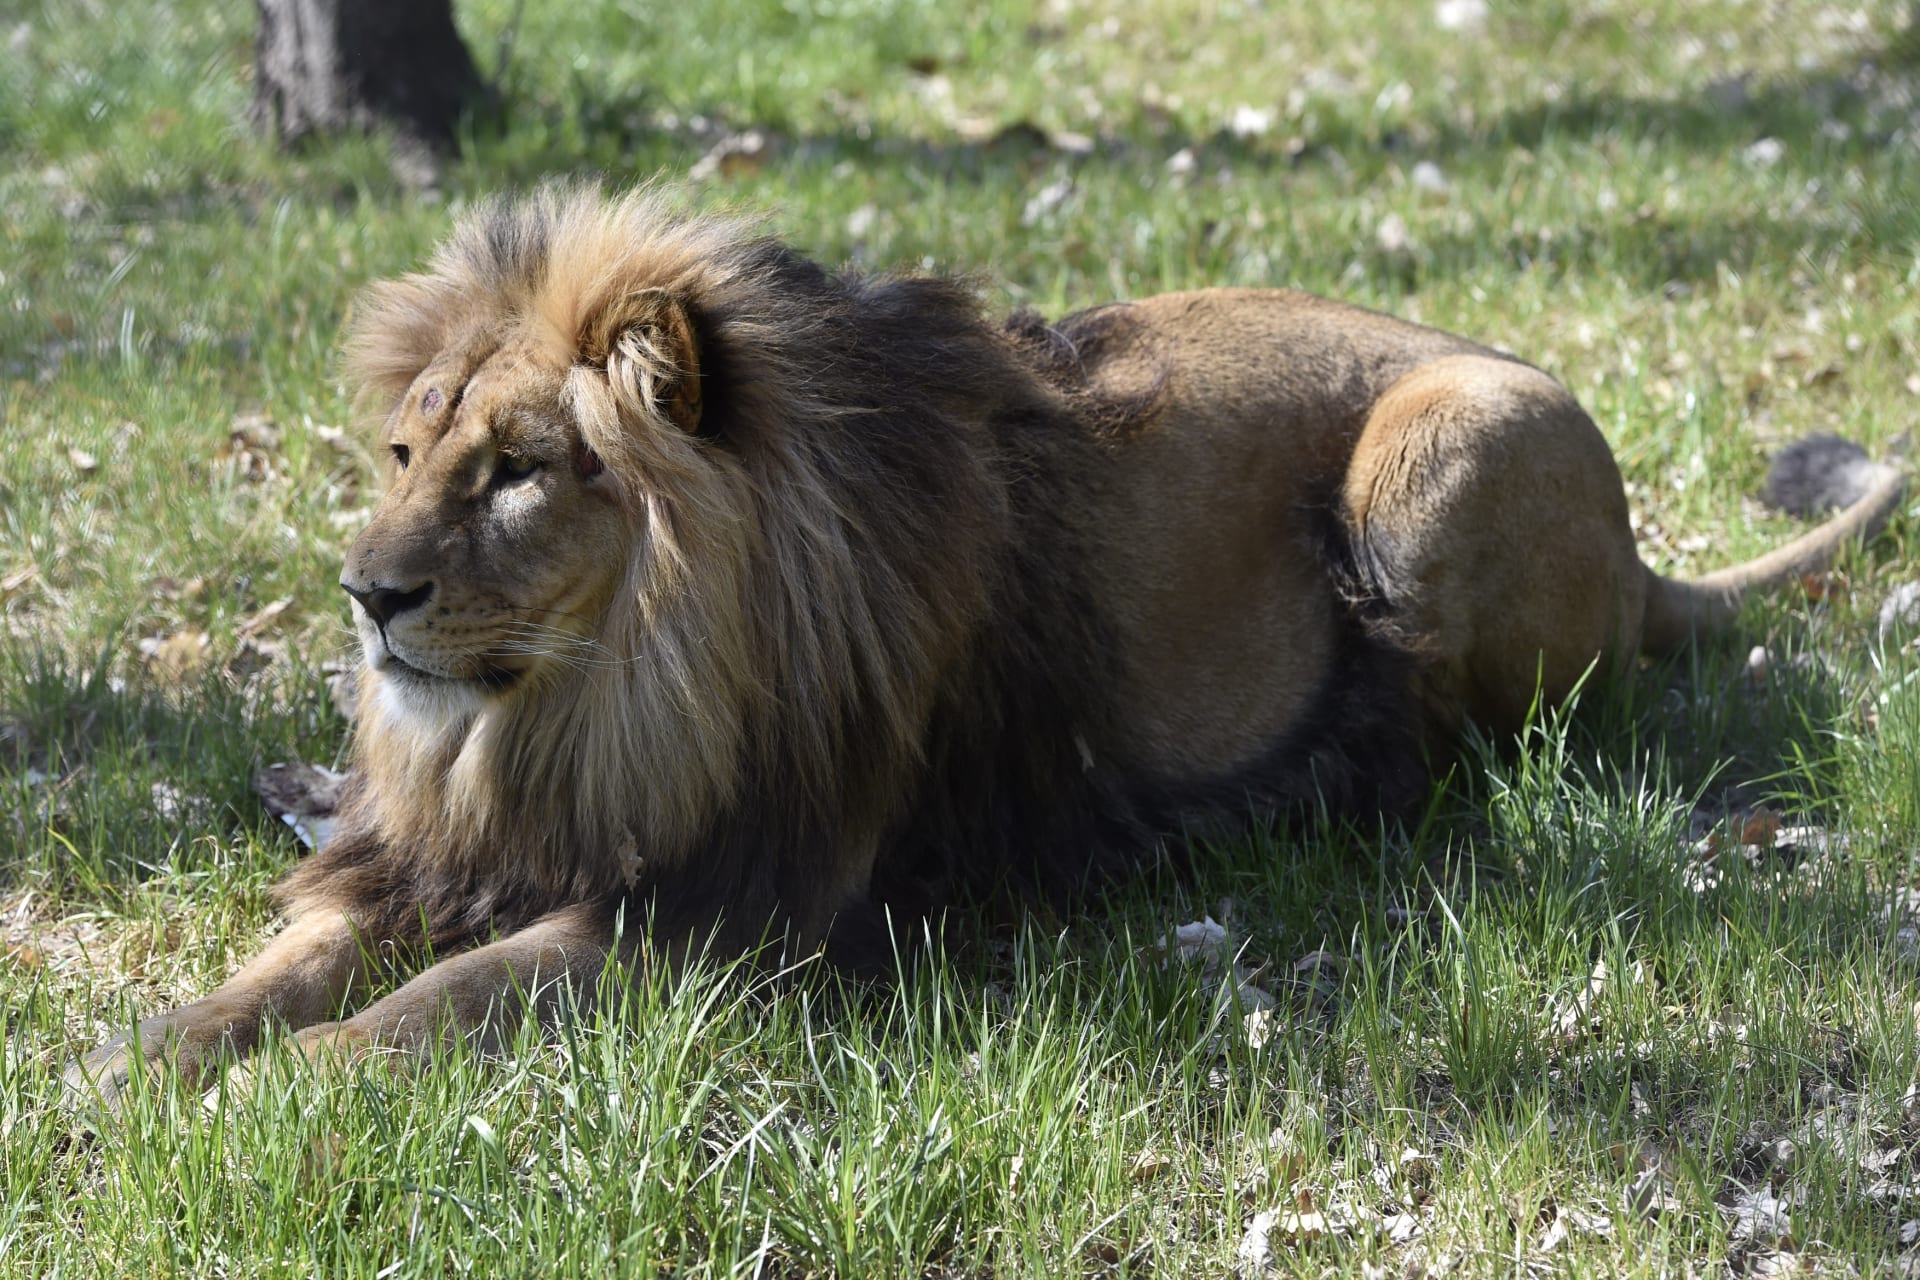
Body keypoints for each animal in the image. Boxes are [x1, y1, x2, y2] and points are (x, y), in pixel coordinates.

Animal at [68, 183, 1907, 1106]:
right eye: (401, 454)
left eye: (521, 470)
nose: (364, 594)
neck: (589, 708)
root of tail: (1643, 550)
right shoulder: (439, 849)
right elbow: (289, 960)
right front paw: (138, 1062)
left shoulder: (730, 906)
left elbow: (444, 998)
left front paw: (280, 1096)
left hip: (1435, 463)